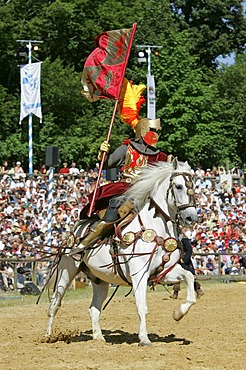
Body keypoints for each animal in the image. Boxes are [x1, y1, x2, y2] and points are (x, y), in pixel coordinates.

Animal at [45, 159, 198, 346]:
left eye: (193, 185)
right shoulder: (139, 275)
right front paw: (144, 338)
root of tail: (75, 229)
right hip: (66, 272)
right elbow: (142, 306)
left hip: (100, 280)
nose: (191, 217)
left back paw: (99, 337)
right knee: (55, 302)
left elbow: (189, 279)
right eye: (178, 186)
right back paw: (48, 336)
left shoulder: (163, 272)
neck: (155, 227)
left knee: (93, 309)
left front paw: (178, 313)